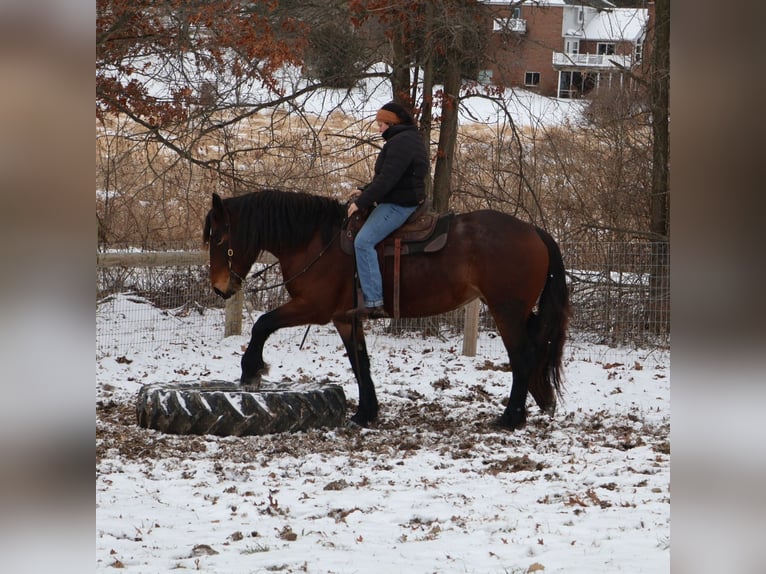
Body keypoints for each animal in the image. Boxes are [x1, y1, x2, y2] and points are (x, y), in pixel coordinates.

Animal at [203, 188, 570, 431]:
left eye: (219, 239)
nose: (220, 287)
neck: (316, 242)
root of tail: (534, 231)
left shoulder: (313, 308)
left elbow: (263, 324)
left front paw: (251, 370)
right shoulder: (344, 319)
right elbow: (359, 362)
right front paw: (366, 413)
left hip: (506, 311)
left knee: (522, 356)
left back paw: (511, 418)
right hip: (518, 312)